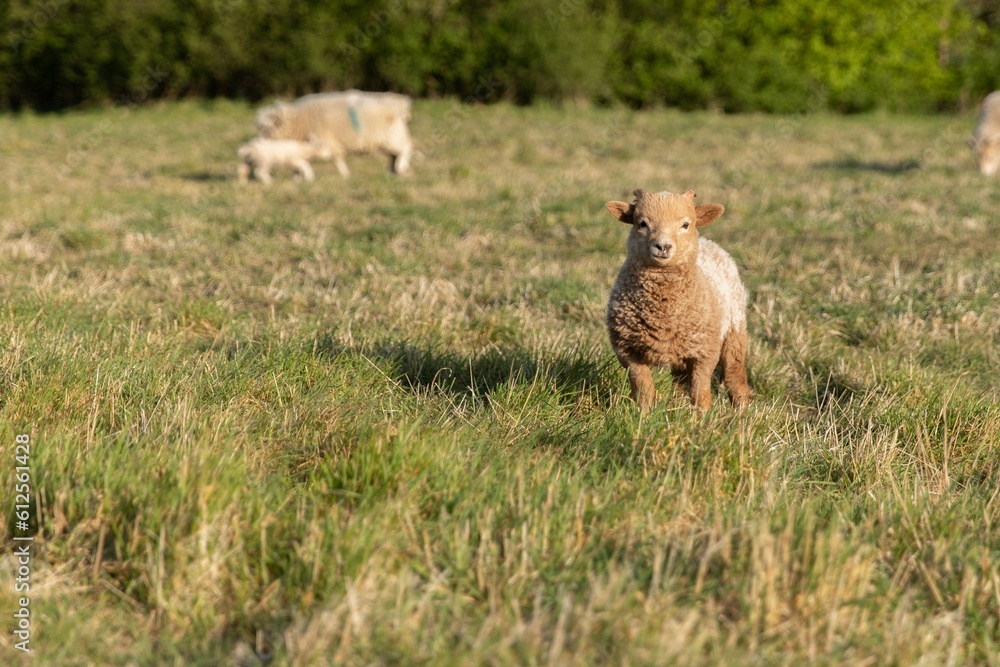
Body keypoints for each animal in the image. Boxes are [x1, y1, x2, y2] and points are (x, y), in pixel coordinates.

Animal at [255, 90, 414, 177]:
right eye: (260, 128)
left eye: (267, 129)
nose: (259, 143)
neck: (300, 121)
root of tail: (400, 103)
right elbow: (304, 159)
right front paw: (298, 176)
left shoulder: (328, 141)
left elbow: (336, 158)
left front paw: (345, 174)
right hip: (386, 140)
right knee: (393, 156)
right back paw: (392, 173)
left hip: (392, 137)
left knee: (405, 148)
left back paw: (401, 167)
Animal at [605, 188, 750, 412]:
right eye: (642, 223)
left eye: (685, 224)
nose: (663, 246)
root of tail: (708, 242)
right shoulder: (626, 349)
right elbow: (643, 385)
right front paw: (644, 414)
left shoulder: (705, 350)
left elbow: (701, 390)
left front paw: (701, 416)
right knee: (681, 381)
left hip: (734, 331)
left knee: (734, 373)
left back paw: (741, 412)